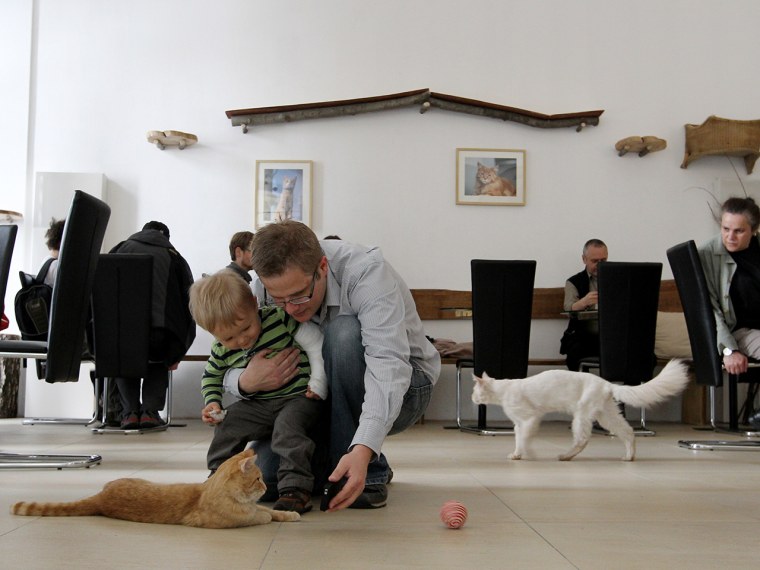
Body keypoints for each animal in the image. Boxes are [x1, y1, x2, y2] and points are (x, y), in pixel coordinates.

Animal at [9, 450, 300, 524]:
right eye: (258, 478)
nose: (266, 488)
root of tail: (101, 497)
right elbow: (260, 516)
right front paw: (267, 515)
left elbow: (271, 512)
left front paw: (289, 513)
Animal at [470, 360, 688, 462]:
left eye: (473, 390)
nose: (471, 398)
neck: (502, 389)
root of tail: (606, 383)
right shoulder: (518, 424)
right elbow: (519, 439)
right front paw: (517, 454)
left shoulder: (530, 419)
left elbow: (525, 439)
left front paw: (528, 453)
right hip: (607, 415)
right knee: (628, 432)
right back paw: (629, 457)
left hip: (582, 415)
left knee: (583, 439)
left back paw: (565, 456)